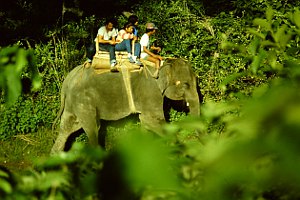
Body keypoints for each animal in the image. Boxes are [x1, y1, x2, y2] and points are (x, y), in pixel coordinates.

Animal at [50, 57, 200, 153]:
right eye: (186, 85)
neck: (163, 64)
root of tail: (68, 79)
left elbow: (145, 122)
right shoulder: (150, 92)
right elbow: (151, 120)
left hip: (73, 103)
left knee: (68, 127)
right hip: (84, 101)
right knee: (93, 128)